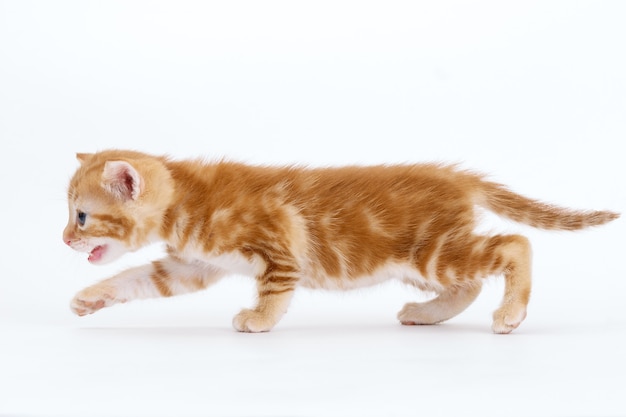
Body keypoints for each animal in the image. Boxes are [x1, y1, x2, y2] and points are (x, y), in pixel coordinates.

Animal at [61, 149, 616, 332]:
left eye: (82, 216)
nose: (64, 239)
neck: (188, 200)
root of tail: (456, 177)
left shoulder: (280, 246)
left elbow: (274, 291)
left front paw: (259, 320)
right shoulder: (192, 266)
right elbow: (138, 277)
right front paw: (90, 298)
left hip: (433, 252)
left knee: (515, 245)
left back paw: (511, 313)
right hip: (423, 260)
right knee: (472, 282)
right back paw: (426, 314)